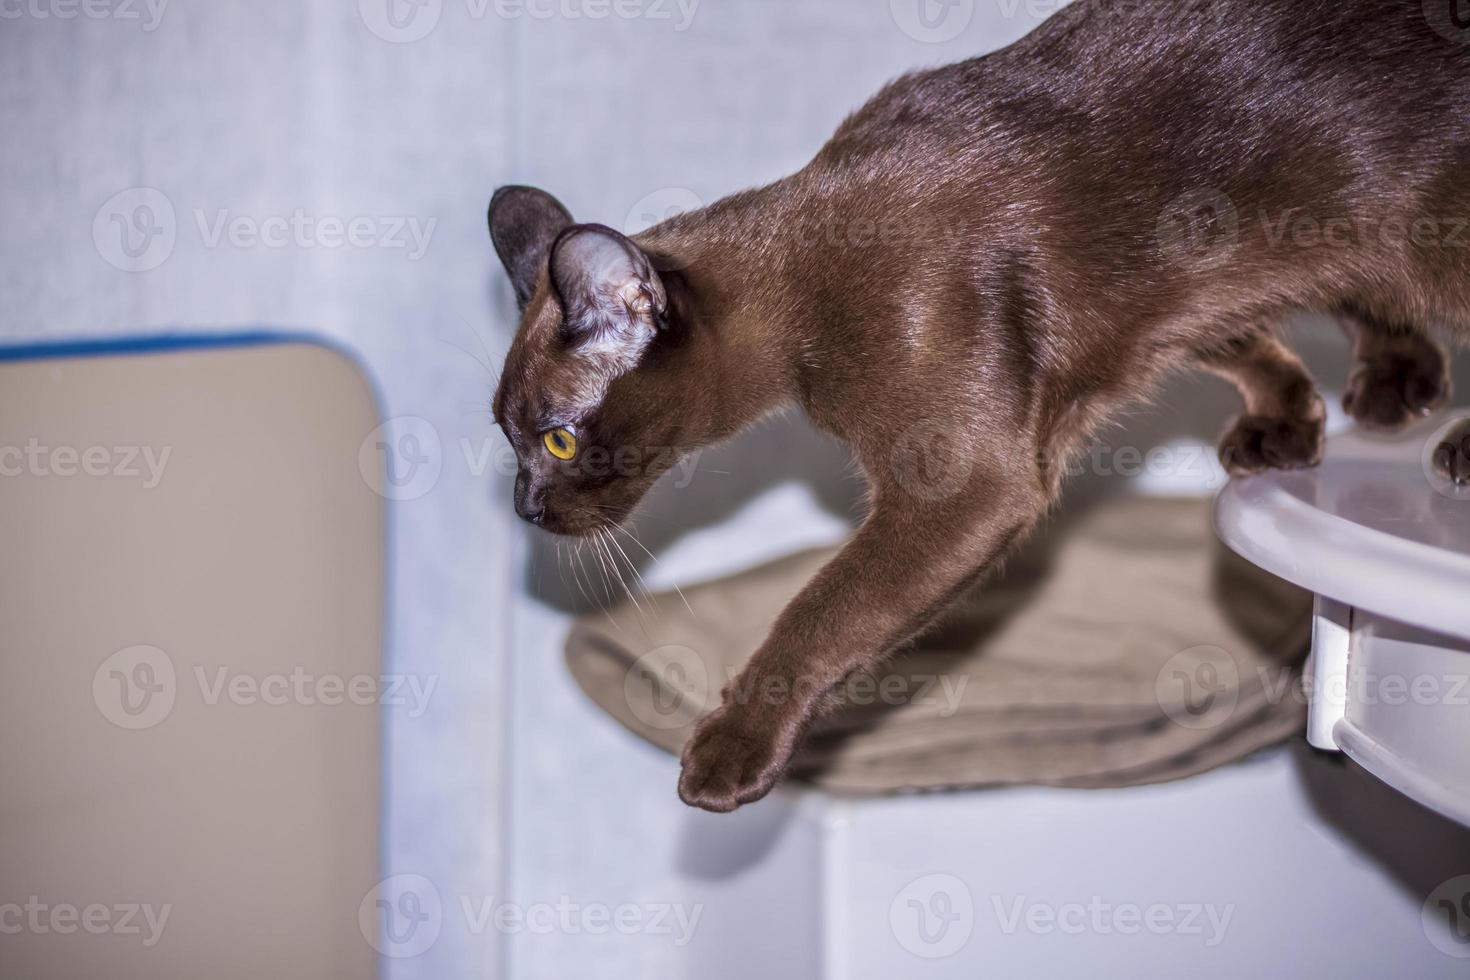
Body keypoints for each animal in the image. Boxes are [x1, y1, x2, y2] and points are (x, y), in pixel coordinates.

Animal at [490, 0, 1470, 811]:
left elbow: (819, 612)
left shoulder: (965, 489)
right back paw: (1392, 387)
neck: (806, 290)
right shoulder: (1173, 289)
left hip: (1425, 231)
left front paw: (728, 753)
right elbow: (1238, 333)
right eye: (509, 439)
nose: (525, 508)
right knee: (1360, 297)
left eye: (560, 441)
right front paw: (1290, 421)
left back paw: (1454, 447)